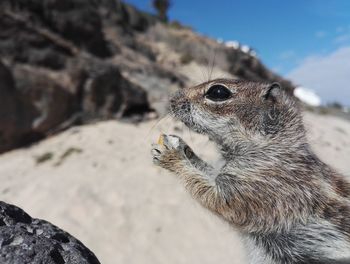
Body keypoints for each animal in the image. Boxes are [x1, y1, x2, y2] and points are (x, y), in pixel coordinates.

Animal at [150, 79, 350, 264]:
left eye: (218, 92)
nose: (173, 97)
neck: (273, 148)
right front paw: (183, 147)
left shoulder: (260, 187)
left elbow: (218, 199)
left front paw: (172, 156)